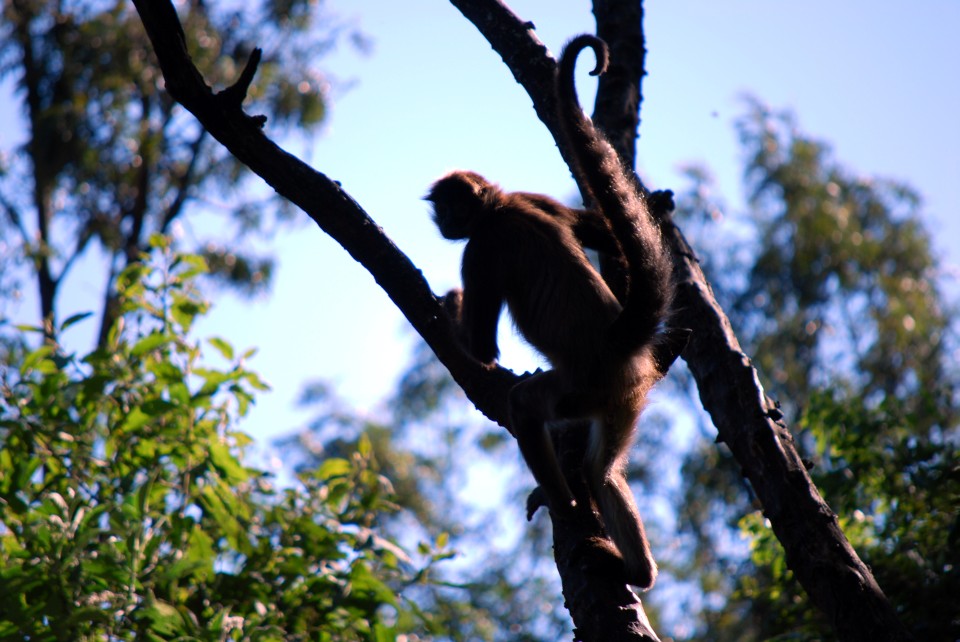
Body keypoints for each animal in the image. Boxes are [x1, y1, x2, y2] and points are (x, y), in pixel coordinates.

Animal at [424, 35, 673, 590]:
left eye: (451, 209)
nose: (443, 221)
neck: (501, 207)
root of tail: (618, 339)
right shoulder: (532, 196)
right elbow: (605, 231)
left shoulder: (481, 248)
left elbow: (483, 350)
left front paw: (449, 305)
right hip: (624, 394)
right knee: (605, 471)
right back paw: (639, 571)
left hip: (581, 385)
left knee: (523, 405)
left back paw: (565, 503)